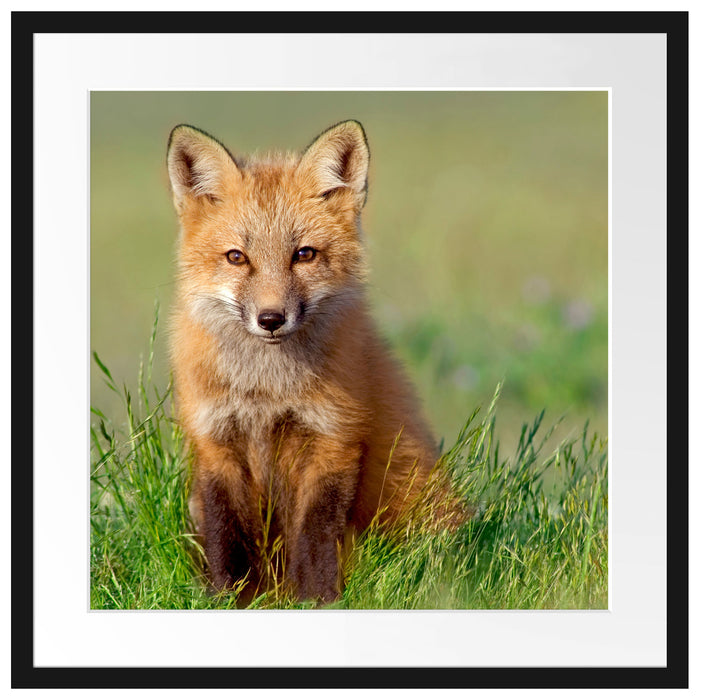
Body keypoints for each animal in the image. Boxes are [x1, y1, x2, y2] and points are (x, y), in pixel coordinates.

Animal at [167, 120, 461, 603]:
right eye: (236, 257)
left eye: (303, 254)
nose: (271, 319)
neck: (267, 391)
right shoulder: (215, 442)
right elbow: (226, 537)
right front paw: (228, 600)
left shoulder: (333, 438)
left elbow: (315, 536)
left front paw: (316, 601)